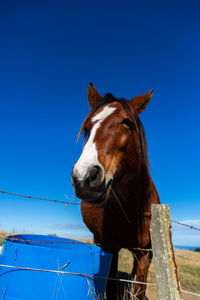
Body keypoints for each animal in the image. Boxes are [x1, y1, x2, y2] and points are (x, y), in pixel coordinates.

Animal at [71, 82, 160, 300]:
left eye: (127, 122)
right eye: (87, 128)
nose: (84, 177)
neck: (132, 211)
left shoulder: (145, 253)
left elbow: (139, 289)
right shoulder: (110, 248)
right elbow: (112, 287)